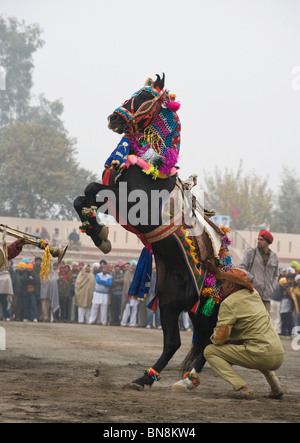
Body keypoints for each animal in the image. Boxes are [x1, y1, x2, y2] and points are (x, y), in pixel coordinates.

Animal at [73, 76, 232, 392]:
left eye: (145, 97)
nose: (113, 119)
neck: (152, 169)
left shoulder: (130, 204)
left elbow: (92, 189)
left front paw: (100, 234)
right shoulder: (116, 199)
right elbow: (84, 196)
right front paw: (98, 233)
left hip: (202, 309)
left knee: (208, 341)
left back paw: (187, 381)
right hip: (170, 303)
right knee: (174, 342)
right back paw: (145, 378)